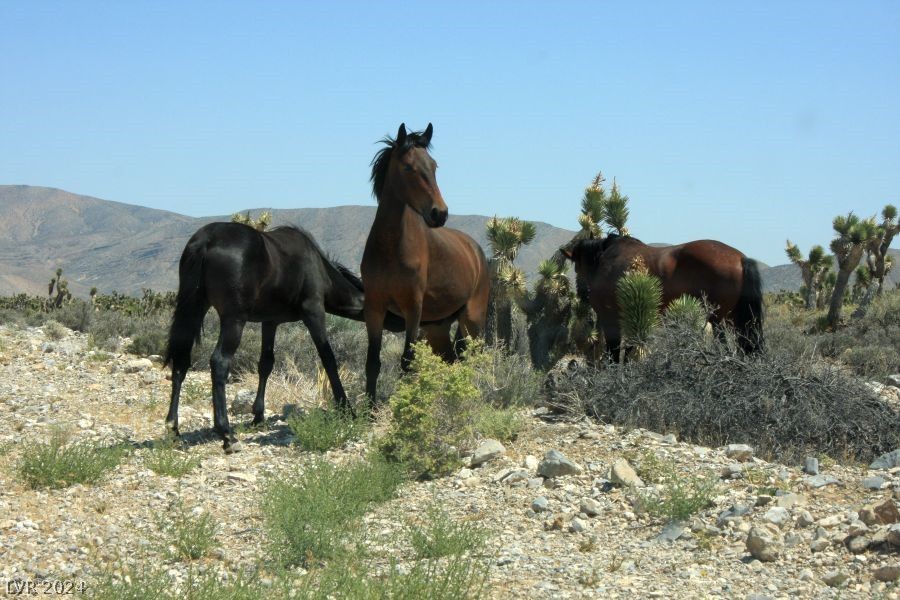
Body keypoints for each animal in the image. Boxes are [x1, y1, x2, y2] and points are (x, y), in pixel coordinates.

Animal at [163, 223, 406, 452]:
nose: (404, 323)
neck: (318, 267)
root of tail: (205, 241)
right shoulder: (313, 312)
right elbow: (329, 359)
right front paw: (345, 408)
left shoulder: (270, 323)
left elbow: (265, 364)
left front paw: (258, 415)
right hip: (233, 319)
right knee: (219, 362)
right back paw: (226, 434)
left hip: (194, 309)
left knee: (181, 362)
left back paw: (173, 428)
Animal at [362, 123, 492, 400]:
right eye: (408, 167)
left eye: (434, 166)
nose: (439, 213)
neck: (390, 248)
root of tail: (476, 251)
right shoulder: (374, 308)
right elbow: (373, 362)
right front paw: (368, 406)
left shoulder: (413, 308)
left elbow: (407, 361)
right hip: (437, 328)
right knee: (451, 359)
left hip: (473, 320)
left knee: (475, 360)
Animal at [564, 233, 768, 356]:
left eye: (576, 266)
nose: (583, 293)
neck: (604, 260)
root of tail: (740, 258)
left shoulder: (610, 319)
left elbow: (615, 352)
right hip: (736, 320)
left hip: (718, 320)